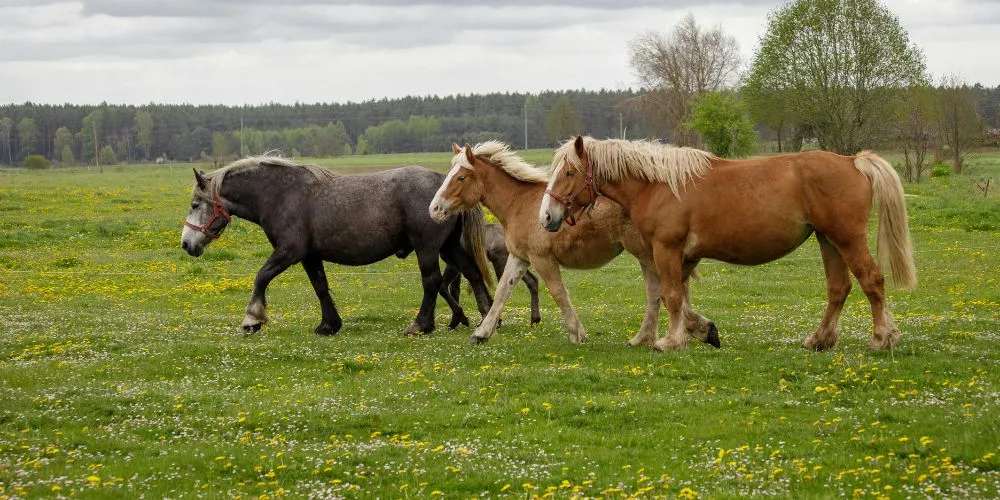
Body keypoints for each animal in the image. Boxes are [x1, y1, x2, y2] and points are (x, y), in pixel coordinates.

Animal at [180, 155, 495, 336]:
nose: (186, 243)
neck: (281, 194)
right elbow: (320, 286)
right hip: (448, 246)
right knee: (472, 272)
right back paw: (487, 315)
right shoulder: (309, 255)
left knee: (431, 282)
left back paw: (421, 325)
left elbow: (261, 277)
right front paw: (329, 324)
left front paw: (252, 318)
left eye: (195, 204)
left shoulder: (289, 251)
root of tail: (445, 184)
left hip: (428, 248)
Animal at [429, 141, 679, 347]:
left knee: (661, 290)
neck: (518, 203)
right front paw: (482, 333)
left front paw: (577, 334)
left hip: (646, 254)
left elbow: (559, 293)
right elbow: (502, 292)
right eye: (449, 174)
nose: (434, 209)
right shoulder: (518, 258)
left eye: (461, 177)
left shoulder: (543, 260)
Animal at [540, 136, 916, 352]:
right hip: (828, 240)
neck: (658, 185)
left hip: (847, 239)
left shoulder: (666, 249)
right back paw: (819, 340)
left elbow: (670, 296)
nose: (547, 216)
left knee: (872, 281)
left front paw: (669, 341)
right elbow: (678, 299)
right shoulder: (685, 257)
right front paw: (699, 332)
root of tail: (852, 161)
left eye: (569, 172)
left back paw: (881, 338)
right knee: (839, 289)